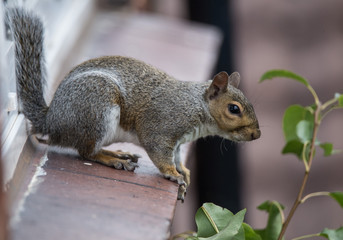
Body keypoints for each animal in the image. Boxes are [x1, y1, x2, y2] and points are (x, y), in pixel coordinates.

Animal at [6, 7, 260, 201]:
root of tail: (51, 121)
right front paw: (172, 173)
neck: (195, 106)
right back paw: (113, 160)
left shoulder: (178, 143)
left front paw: (184, 170)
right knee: (86, 152)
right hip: (96, 110)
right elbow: (159, 152)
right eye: (234, 109)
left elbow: (177, 156)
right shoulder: (161, 126)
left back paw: (119, 153)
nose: (256, 135)